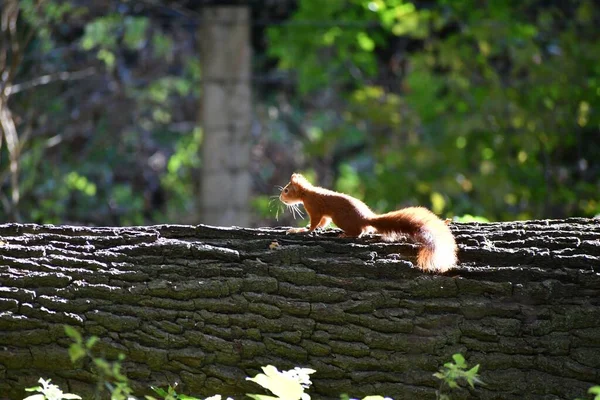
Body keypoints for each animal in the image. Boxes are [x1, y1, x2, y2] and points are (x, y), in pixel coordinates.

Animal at [278, 173, 458, 274]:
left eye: (286, 190)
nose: (280, 198)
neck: (306, 193)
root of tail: (366, 218)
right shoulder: (323, 215)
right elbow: (322, 222)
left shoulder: (314, 207)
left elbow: (315, 223)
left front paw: (302, 230)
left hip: (340, 218)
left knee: (359, 232)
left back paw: (345, 235)